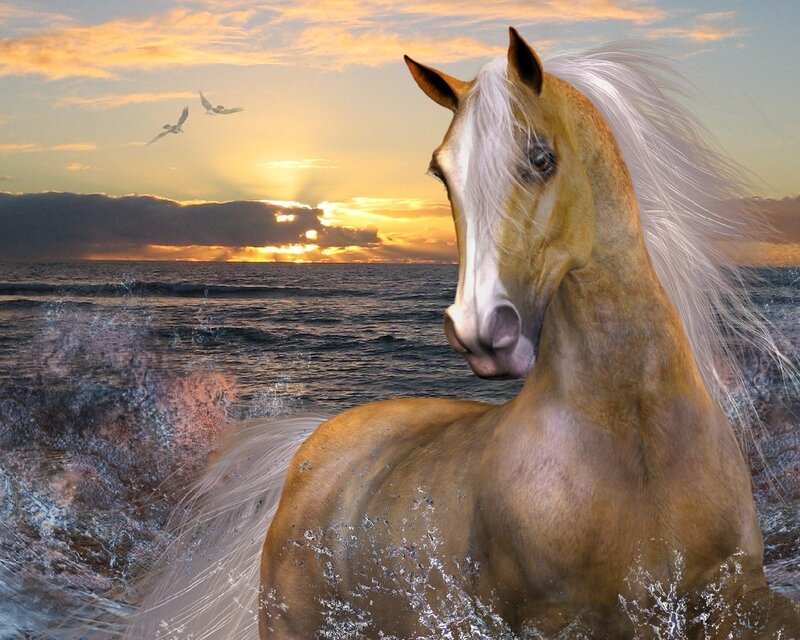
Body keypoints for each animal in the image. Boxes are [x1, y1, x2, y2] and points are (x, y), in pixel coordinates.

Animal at [85, 28, 799, 640]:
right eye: (439, 172)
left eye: (541, 158)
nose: (481, 330)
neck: (634, 439)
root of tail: (305, 452)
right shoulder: (561, 620)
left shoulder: (736, 598)